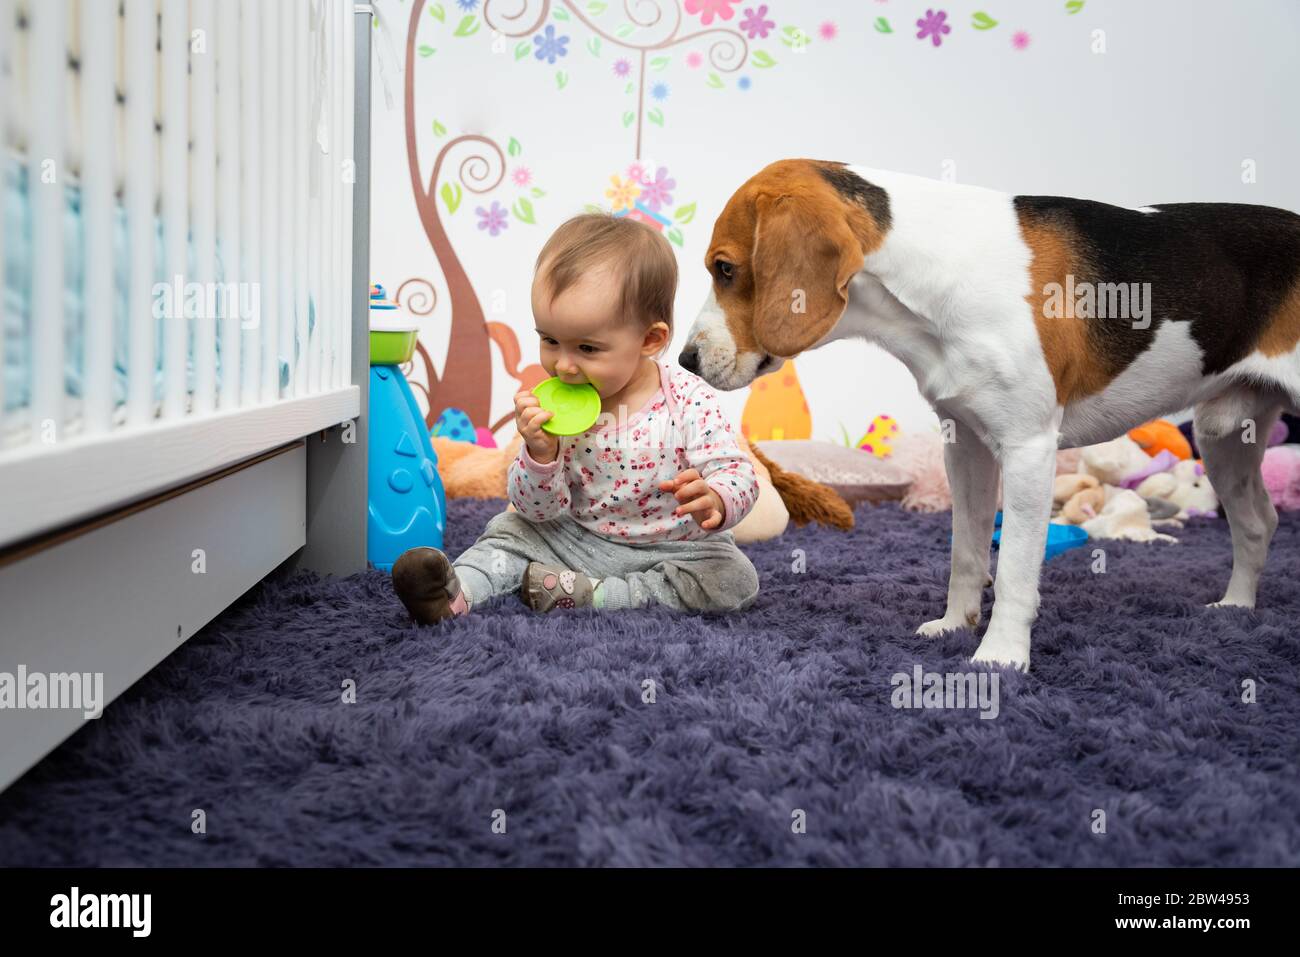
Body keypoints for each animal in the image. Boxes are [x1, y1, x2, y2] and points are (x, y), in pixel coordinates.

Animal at [681, 158, 1300, 670]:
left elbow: (1015, 570)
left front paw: (1000, 655)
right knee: (1257, 523)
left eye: (725, 269)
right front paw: (955, 625)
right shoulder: (967, 445)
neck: (931, 277)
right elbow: (967, 549)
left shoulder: (1028, 450)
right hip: (1223, 435)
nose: (686, 359)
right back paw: (1235, 608)